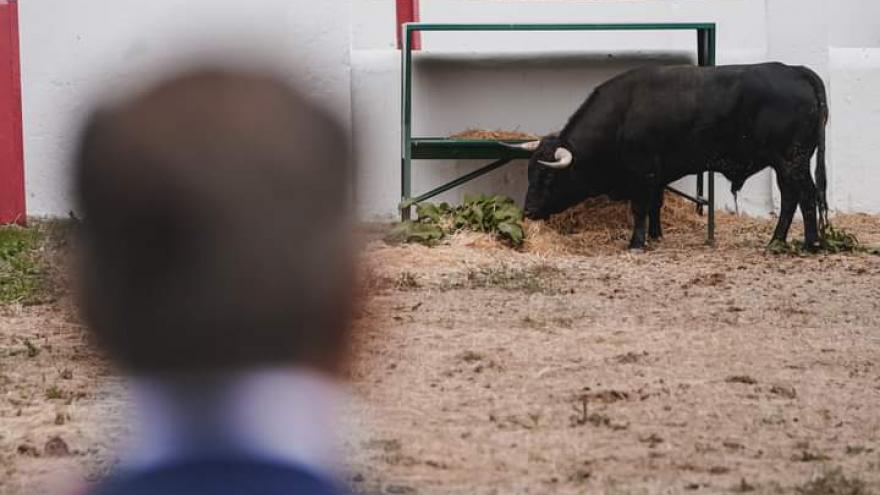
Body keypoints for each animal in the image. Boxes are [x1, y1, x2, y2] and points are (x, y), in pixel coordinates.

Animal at [516, 64, 824, 250]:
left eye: (548, 177)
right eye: (530, 173)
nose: (528, 211)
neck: (621, 115)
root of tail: (795, 71)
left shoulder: (642, 172)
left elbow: (640, 207)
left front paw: (637, 242)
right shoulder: (658, 173)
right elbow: (656, 204)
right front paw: (656, 234)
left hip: (792, 161)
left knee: (806, 196)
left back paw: (810, 243)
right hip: (786, 164)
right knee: (791, 198)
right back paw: (776, 241)